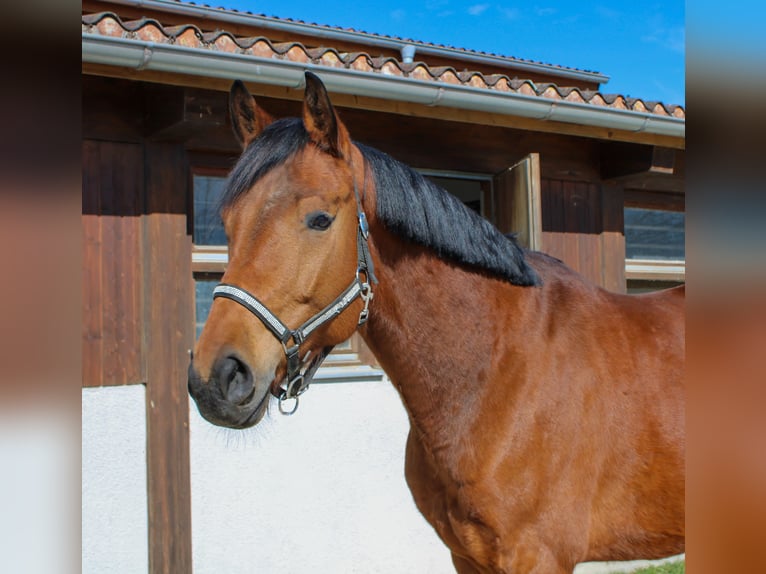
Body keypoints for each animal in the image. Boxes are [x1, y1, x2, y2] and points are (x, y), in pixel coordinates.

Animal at [188, 71, 685, 574]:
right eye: (226, 224)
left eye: (321, 219)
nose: (216, 378)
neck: (496, 375)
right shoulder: (464, 555)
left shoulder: (538, 558)